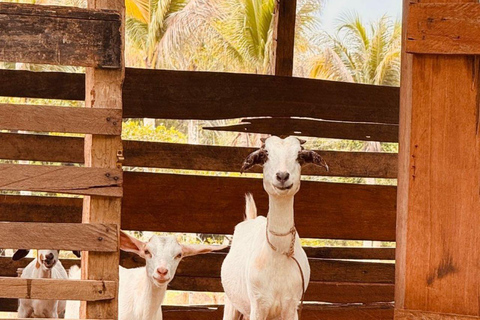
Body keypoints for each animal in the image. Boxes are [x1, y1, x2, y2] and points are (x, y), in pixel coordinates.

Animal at [222, 136, 330, 318]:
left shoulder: (291, 306)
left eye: (299, 156)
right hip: (231, 302)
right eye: (265, 155)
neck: (278, 254)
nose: (282, 176)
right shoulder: (258, 305)